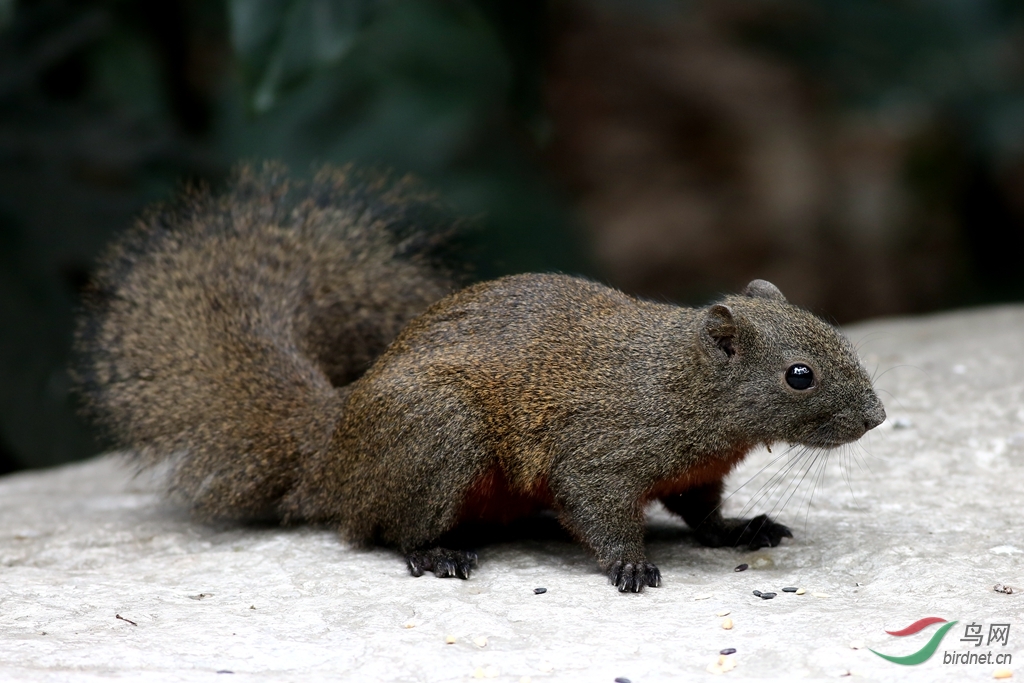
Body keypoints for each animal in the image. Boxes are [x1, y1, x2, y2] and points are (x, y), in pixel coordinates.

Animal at [74, 161, 888, 593]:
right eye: (800, 375)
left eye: (831, 328)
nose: (877, 418)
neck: (685, 384)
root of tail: (332, 450)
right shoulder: (603, 447)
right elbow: (598, 504)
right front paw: (629, 563)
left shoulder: (696, 468)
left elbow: (702, 510)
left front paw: (740, 527)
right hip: (442, 434)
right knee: (380, 528)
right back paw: (435, 551)